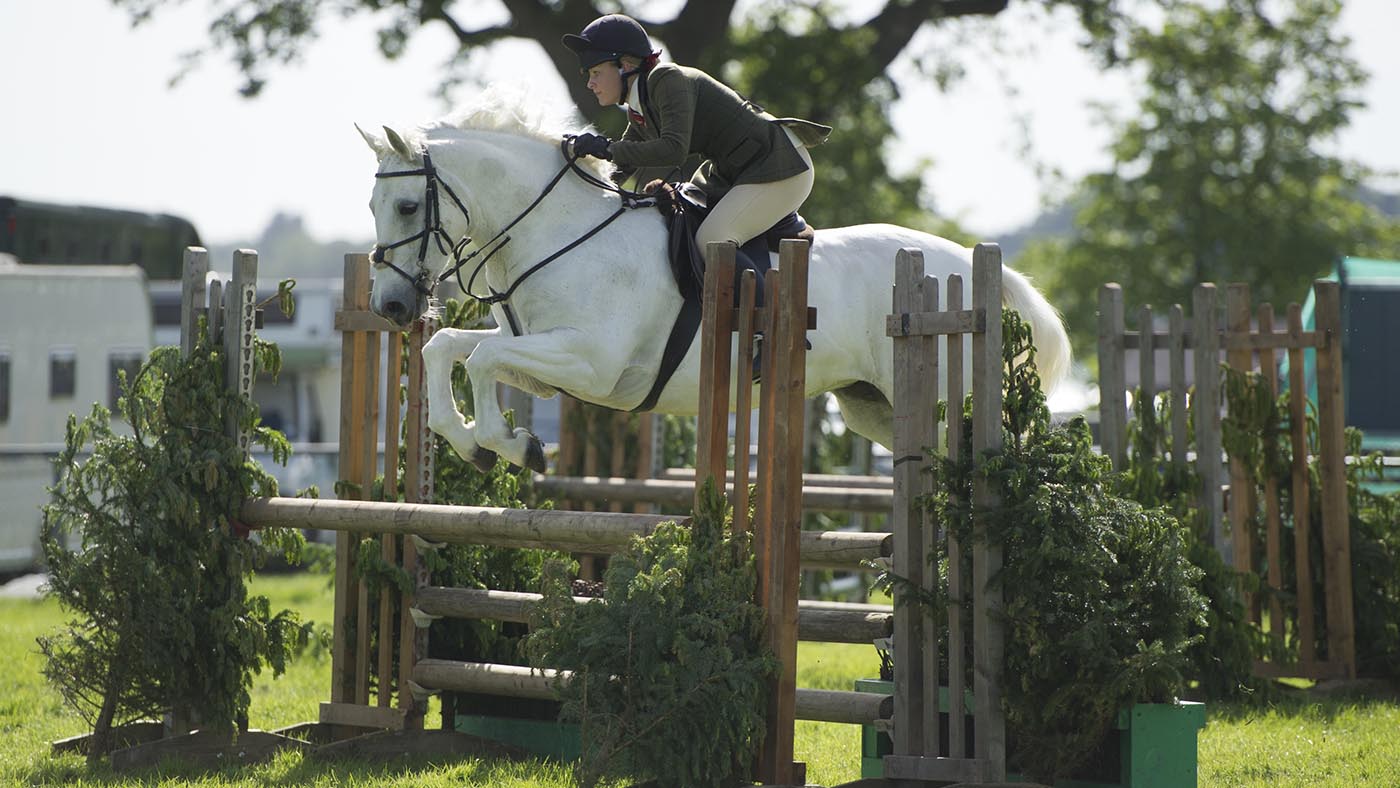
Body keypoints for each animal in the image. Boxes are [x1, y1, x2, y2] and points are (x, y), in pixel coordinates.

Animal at [358, 93, 1071, 474]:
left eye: (406, 207)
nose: (389, 306)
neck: (557, 231)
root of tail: (974, 263)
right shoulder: (546, 365)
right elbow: (446, 348)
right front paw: (476, 445)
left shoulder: (590, 363)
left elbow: (477, 356)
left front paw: (510, 445)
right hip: (874, 405)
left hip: (948, 401)